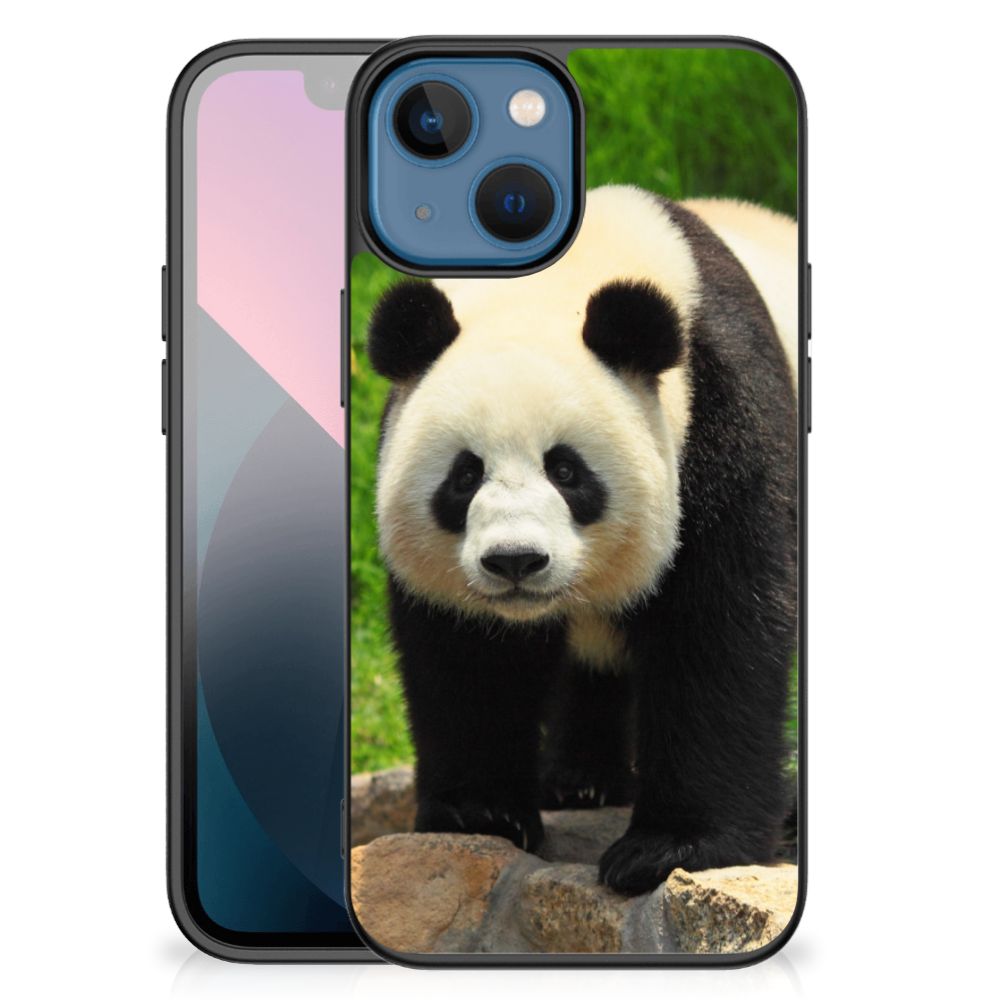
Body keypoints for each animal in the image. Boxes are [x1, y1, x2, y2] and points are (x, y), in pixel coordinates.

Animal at [365, 185, 798, 896]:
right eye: (464, 475)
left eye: (566, 471)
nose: (515, 561)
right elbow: (468, 656)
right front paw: (480, 813)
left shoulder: (724, 418)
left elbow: (720, 630)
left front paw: (670, 848)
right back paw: (580, 781)